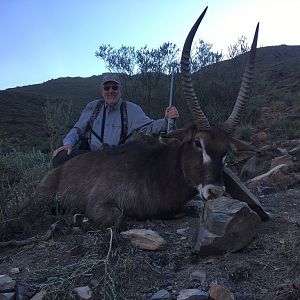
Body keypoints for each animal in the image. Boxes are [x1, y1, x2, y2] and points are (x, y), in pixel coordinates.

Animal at [38, 7, 260, 227]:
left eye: (226, 151)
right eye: (198, 143)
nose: (215, 191)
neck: (156, 169)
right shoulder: (99, 203)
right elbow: (117, 218)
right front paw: (79, 217)